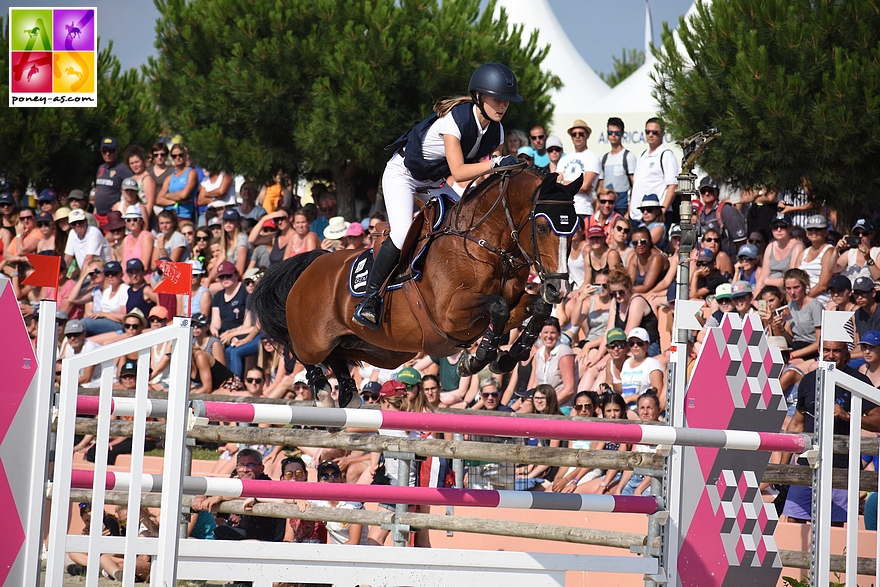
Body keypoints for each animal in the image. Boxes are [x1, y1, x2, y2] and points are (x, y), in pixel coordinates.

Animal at [251, 168, 580, 412]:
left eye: (575, 228)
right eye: (542, 227)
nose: (558, 288)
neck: (486, 243)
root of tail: (312, 263)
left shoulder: (506, 306)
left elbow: (535, 308)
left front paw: (509, 356)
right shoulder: (451, 314)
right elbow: (497, 306)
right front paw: (477, 358)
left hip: (380, 350)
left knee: (339, 354)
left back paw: (347, 391)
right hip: (315, 339)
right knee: (299, 348)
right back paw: (322, 391)